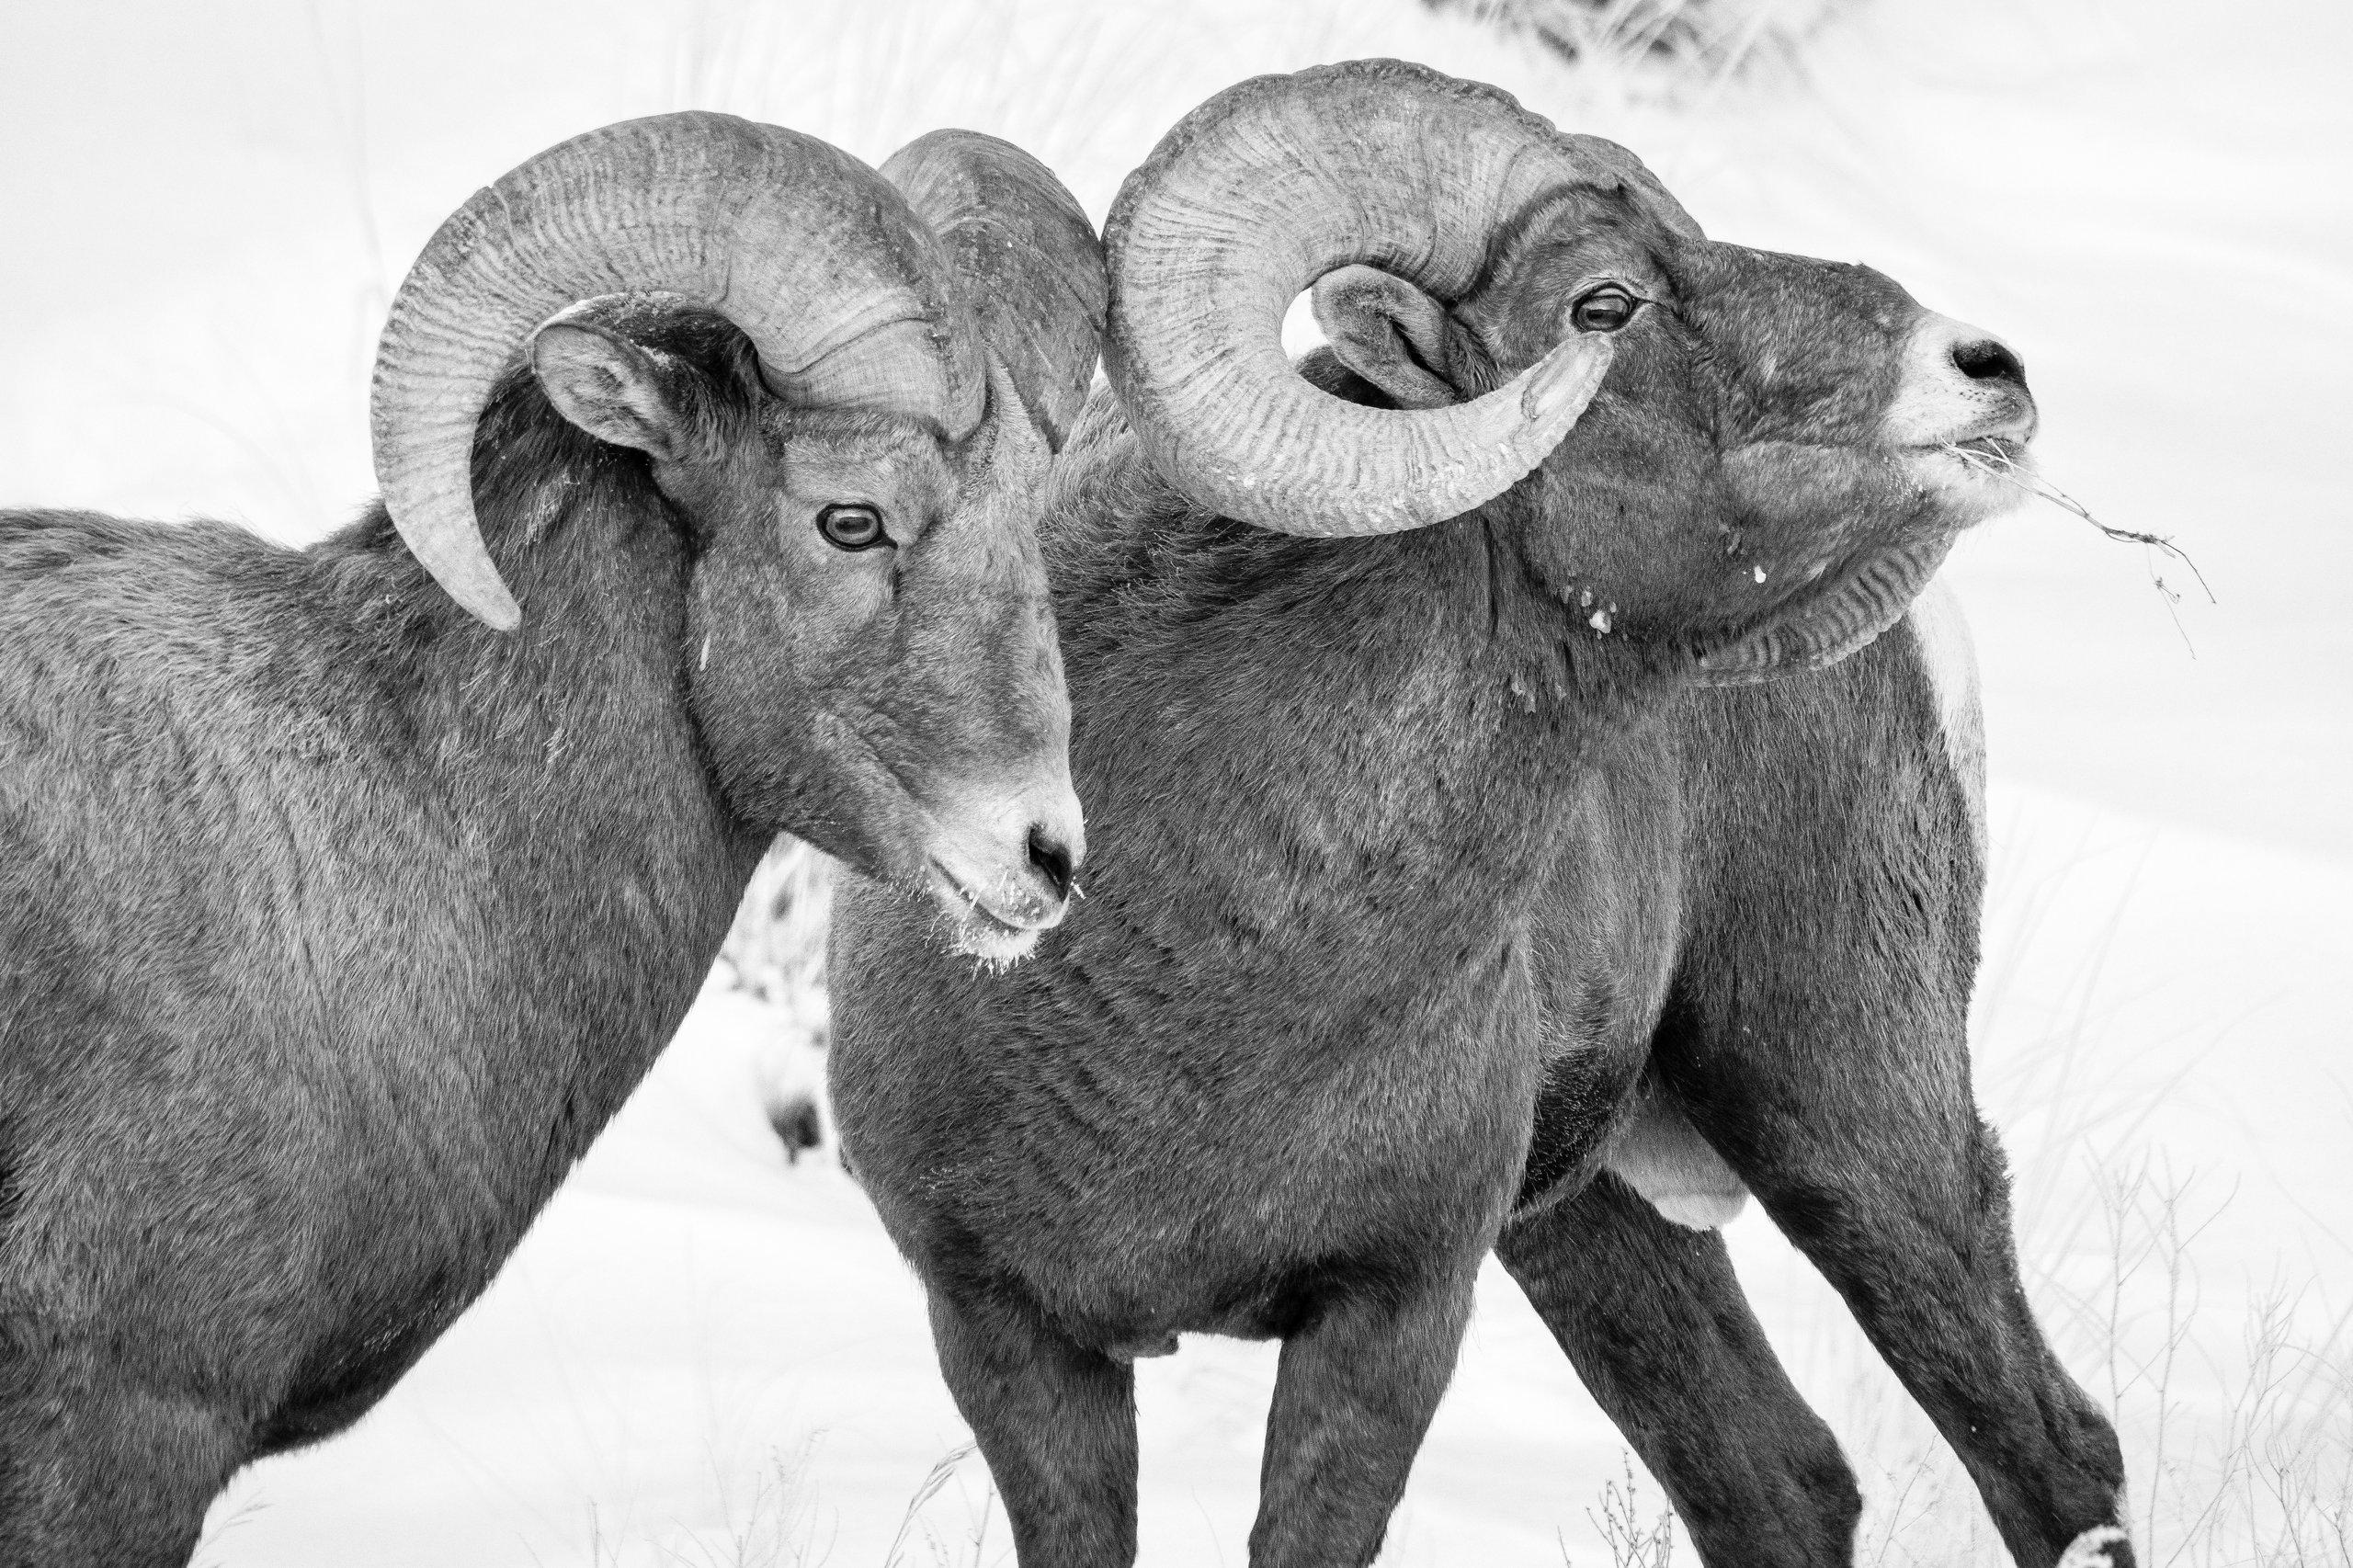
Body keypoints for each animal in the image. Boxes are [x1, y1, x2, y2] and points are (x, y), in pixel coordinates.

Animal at [831, 60, 2131, 1568]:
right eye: (1602, 306)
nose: (1983, 367)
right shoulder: (1010, 1334)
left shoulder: (1393, 1314)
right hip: (1597, 1219)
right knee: (1778, 1478)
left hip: (1848, 1121)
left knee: (2048, 1454)